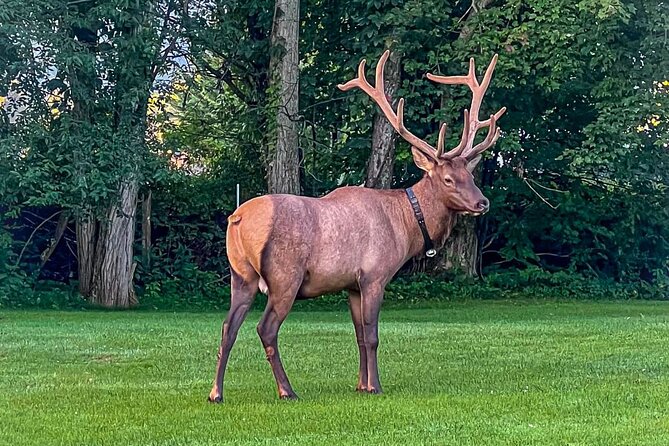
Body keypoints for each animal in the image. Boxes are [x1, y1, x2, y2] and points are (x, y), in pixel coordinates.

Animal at [208, 50, 506, 403]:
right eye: (448, 179)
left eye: (470, 175)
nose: (482, 202)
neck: (405, 228)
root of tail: (236, 220)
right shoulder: (375, 274)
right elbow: (373, 335)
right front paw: (375, 386)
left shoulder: (351, 284)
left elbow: (360, 335)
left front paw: (360, 384)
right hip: (284, 275)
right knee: (265, 328)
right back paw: (287, 390)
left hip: (239, 275)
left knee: (228, 327)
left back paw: (216, 393)